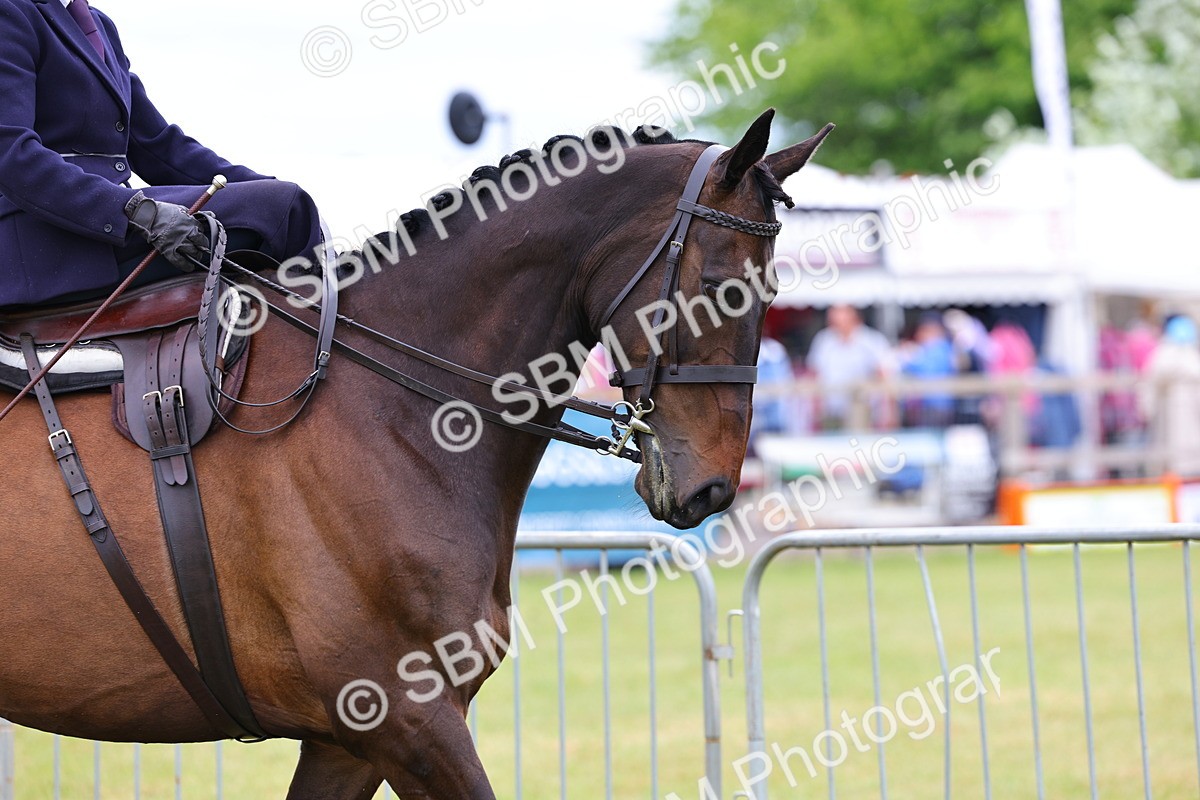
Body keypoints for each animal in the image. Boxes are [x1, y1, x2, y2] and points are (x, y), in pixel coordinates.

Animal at [0, 109, 831, 798]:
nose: (713, 489)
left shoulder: (349, 742)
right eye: (719, 284)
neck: (388, 408)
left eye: (774, 292)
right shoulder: (407, 718)